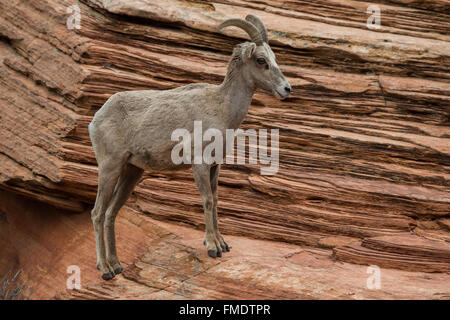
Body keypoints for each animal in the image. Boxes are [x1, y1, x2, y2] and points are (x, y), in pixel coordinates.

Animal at [89, 15, 292, 280]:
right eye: (261, 60)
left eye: (274, 57)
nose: (287, 89)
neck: (222, 109)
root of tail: (96, 119)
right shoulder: (200, 164)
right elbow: (207, 200)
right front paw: (213, 247)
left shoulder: (216, 166)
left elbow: (215, 200)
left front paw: (222, 243)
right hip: (110, 167)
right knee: (97, 213)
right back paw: (105, 269)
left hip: (132, 171)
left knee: (111, 213)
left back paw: (116, 265)